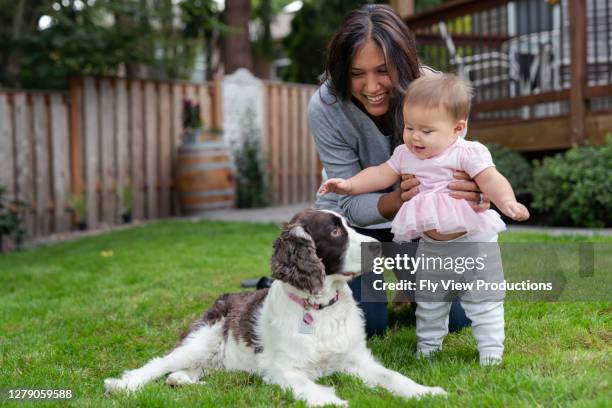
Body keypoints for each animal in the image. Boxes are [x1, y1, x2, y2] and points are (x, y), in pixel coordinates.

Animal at [105, 209, 448, 406]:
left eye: (350, 225)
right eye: (335, 231)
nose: (378, 246)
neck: (320, 308)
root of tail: (225, 297)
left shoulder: (356, 359)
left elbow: (393, 377)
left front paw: (426, 391)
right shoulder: (282, 367)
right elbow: (308, 385)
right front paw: (332, 400)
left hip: (216, 359)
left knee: (184, 371)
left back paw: (183, 380)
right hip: (202, 339)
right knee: (157, 364)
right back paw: (122, 385)